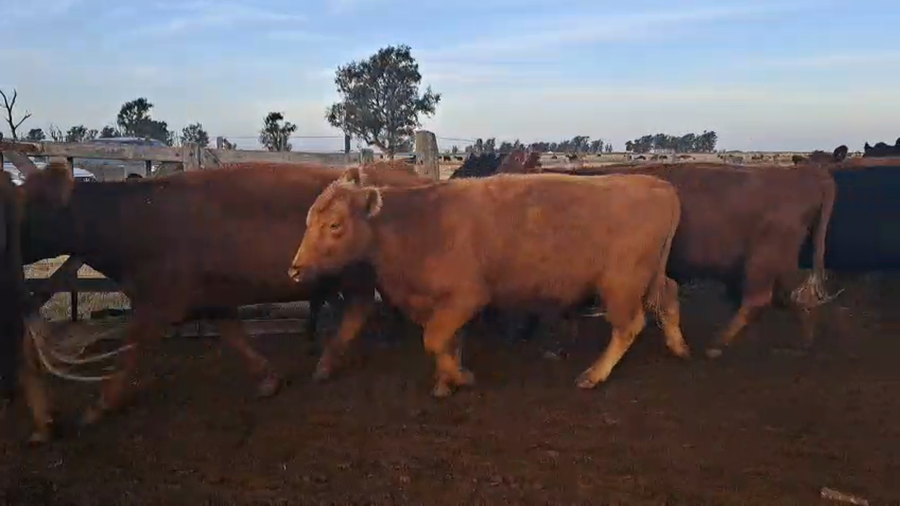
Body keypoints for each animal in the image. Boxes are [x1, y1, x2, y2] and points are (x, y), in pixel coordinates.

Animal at [17, 160, 427, 433]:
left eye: (27, 204)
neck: (134, 218)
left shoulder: (155, 305)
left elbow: (129, 354)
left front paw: (99, 406)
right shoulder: (210, 297)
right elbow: (234, 335)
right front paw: (267, 378)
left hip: (354, 276)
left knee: (360, 309)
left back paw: (329, 361)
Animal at [288, 172, 688, 397]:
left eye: (335, 224)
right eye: (309, 219)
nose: (295, 269)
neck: (417, 223)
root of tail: (660, 186)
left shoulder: (467, 296)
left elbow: (435, 339)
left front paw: (460, 378)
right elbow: (447, 340)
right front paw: (446, 380)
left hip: (620, 284)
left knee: (629, 325)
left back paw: (594, 375)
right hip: (650, 277)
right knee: (668, 297)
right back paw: (678, 347)